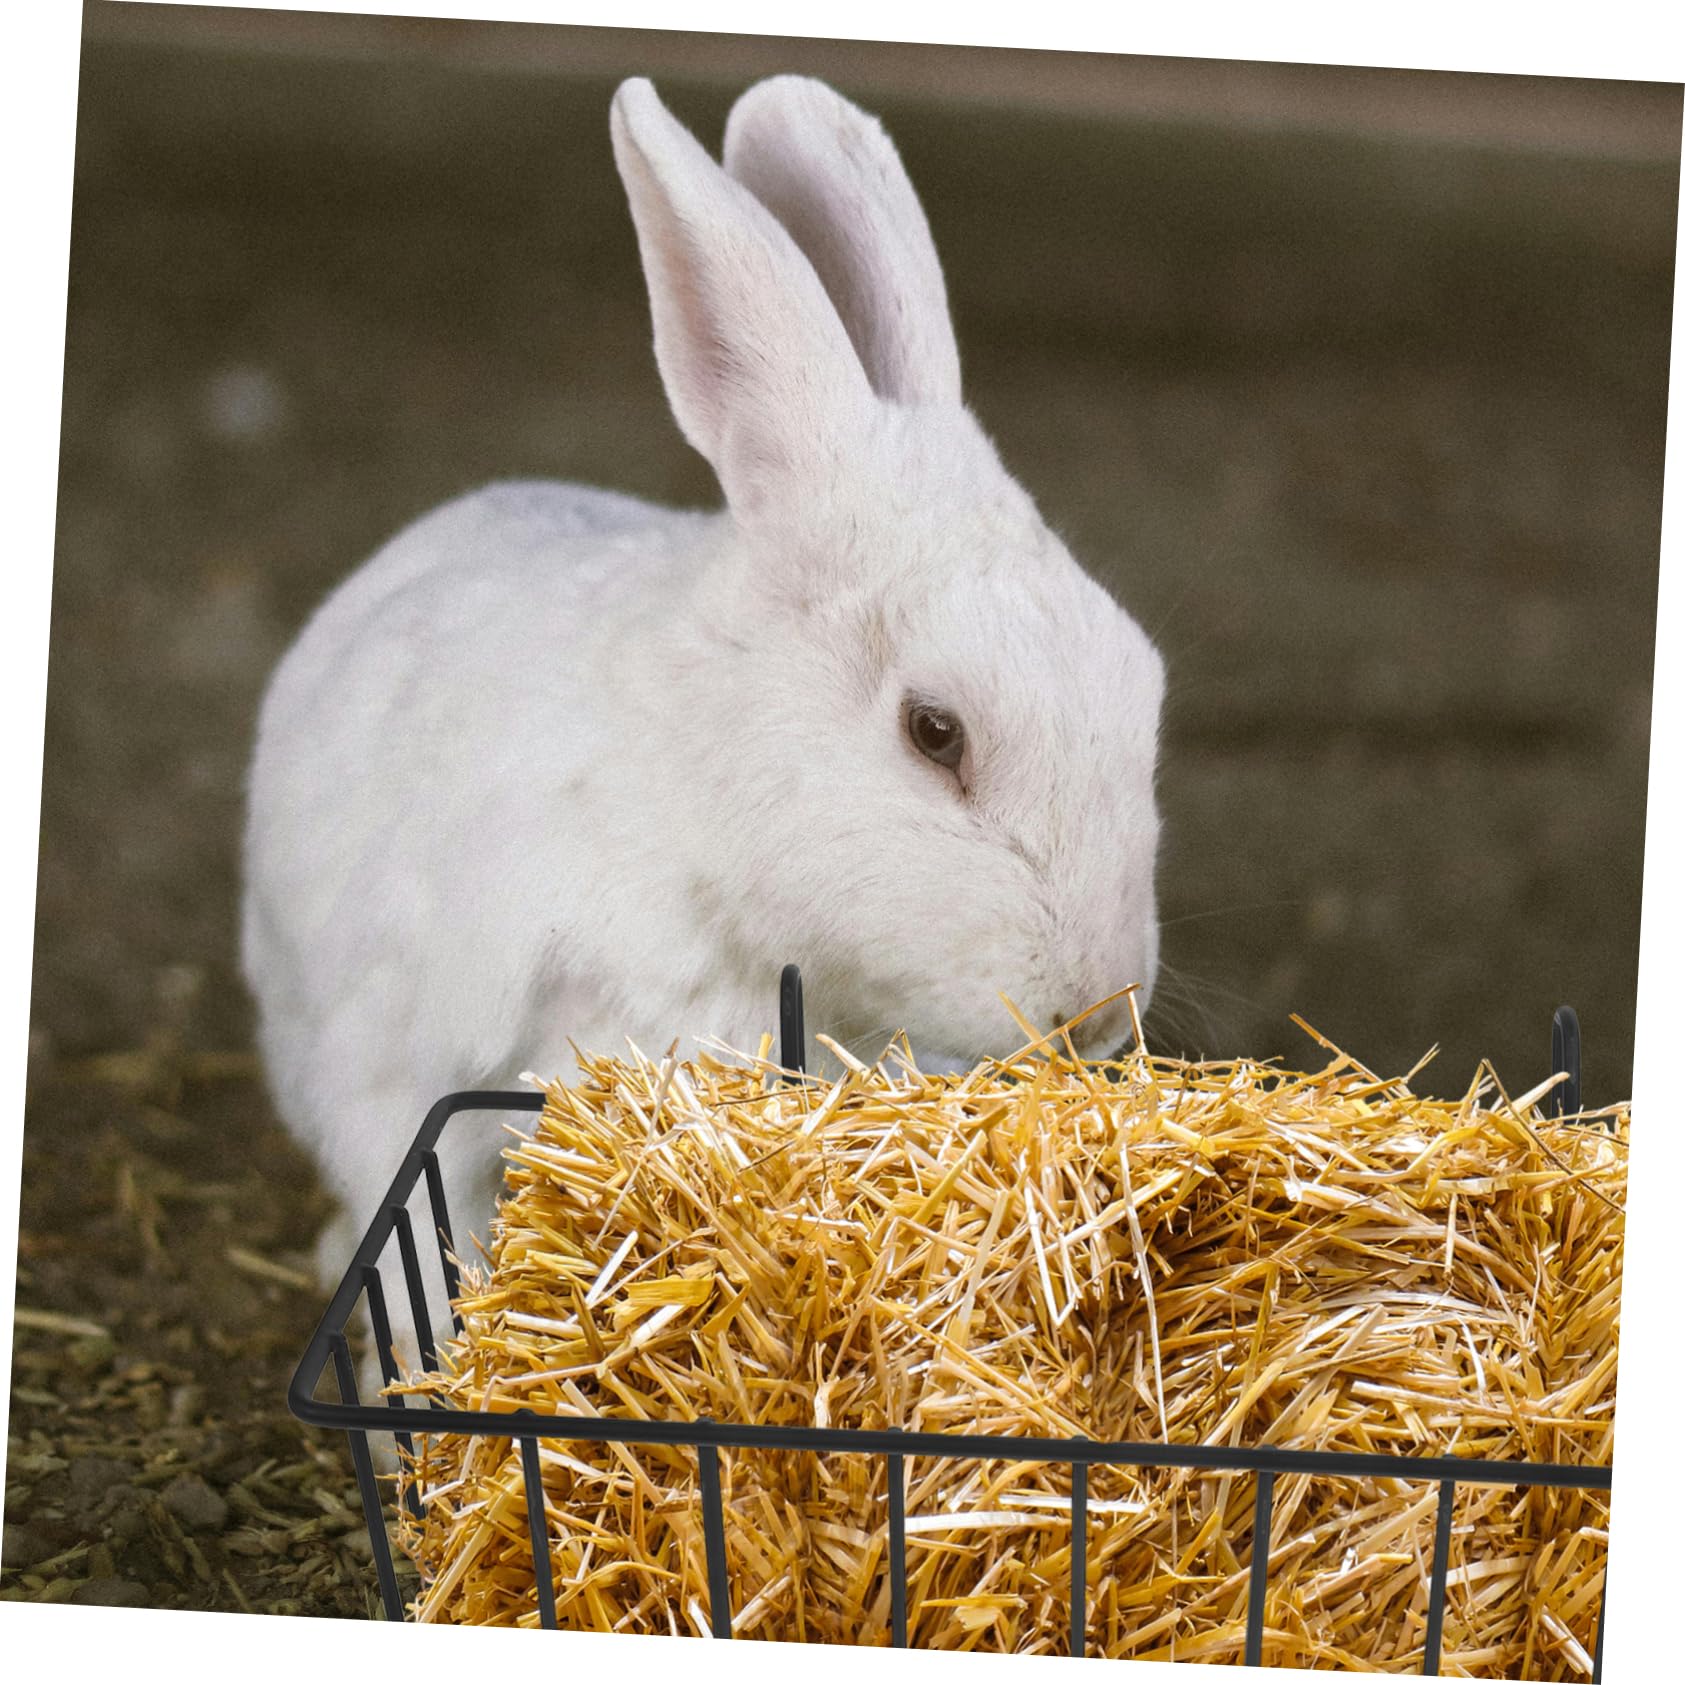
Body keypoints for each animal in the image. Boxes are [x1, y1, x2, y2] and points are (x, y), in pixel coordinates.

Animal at [242, 74, 1165, 1409]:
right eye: (934, 732)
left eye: (1144, 682)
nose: (1094, 1007)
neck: (704, 815)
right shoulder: (407, 1051)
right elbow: (423, 1222)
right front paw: (414, 1381)